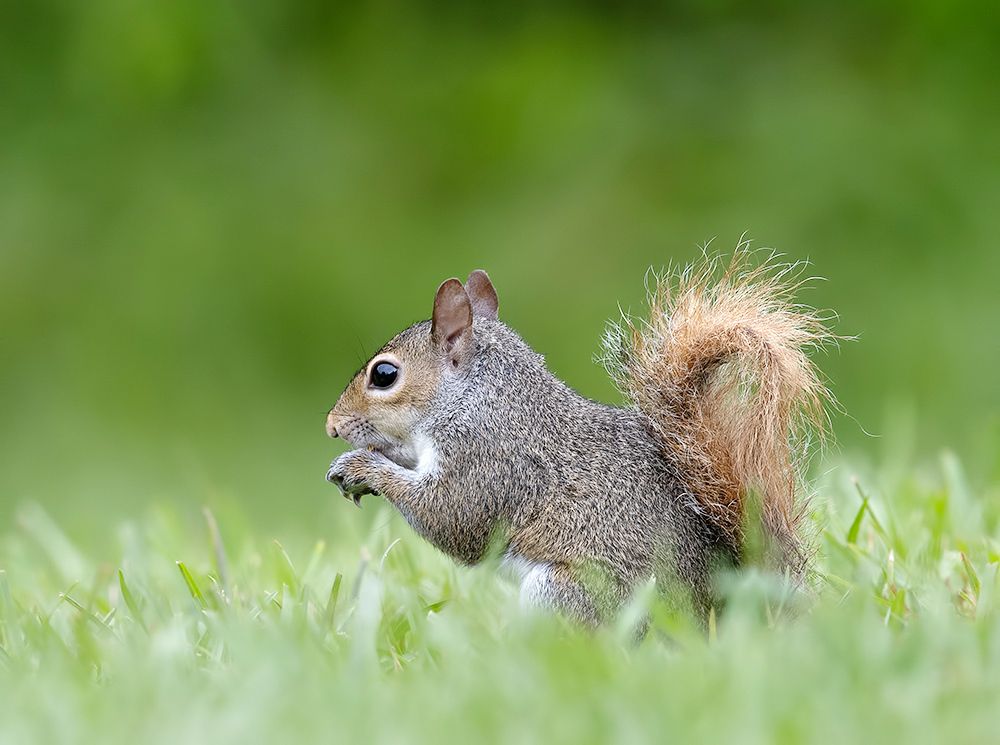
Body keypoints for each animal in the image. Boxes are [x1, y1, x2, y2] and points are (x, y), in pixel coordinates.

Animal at [325, 250, 831, 624]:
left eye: (384, 375)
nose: (331, 425)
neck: (478, 397)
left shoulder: (490, 459)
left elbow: (451, 517)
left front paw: (361, 467)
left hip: (567, 593)